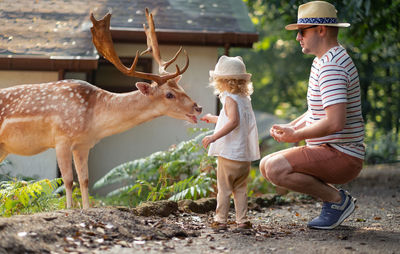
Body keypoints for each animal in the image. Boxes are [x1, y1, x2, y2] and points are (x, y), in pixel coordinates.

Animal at [0, 9, 202, 208]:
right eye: (169, 94)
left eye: (181, 88)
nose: (198, 107)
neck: (93, 120)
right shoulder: (61, 139)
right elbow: (68, 181)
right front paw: (69, 209)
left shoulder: (83, 145)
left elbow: (84, 180)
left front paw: (86, 208)